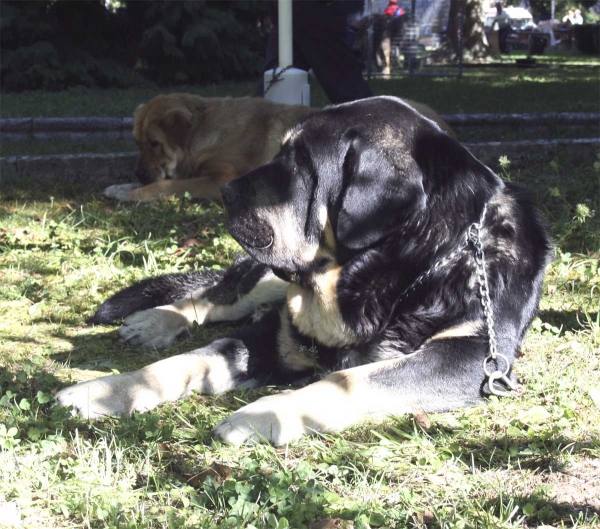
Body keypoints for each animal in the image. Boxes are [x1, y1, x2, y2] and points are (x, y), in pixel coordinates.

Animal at [102, 93, 450, 202]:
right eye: (136, 142)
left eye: (155, 144)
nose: (138, 173)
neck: (203, 128)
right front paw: (121, 187)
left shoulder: (219, 180)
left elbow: (166, 186)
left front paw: (134, 193)